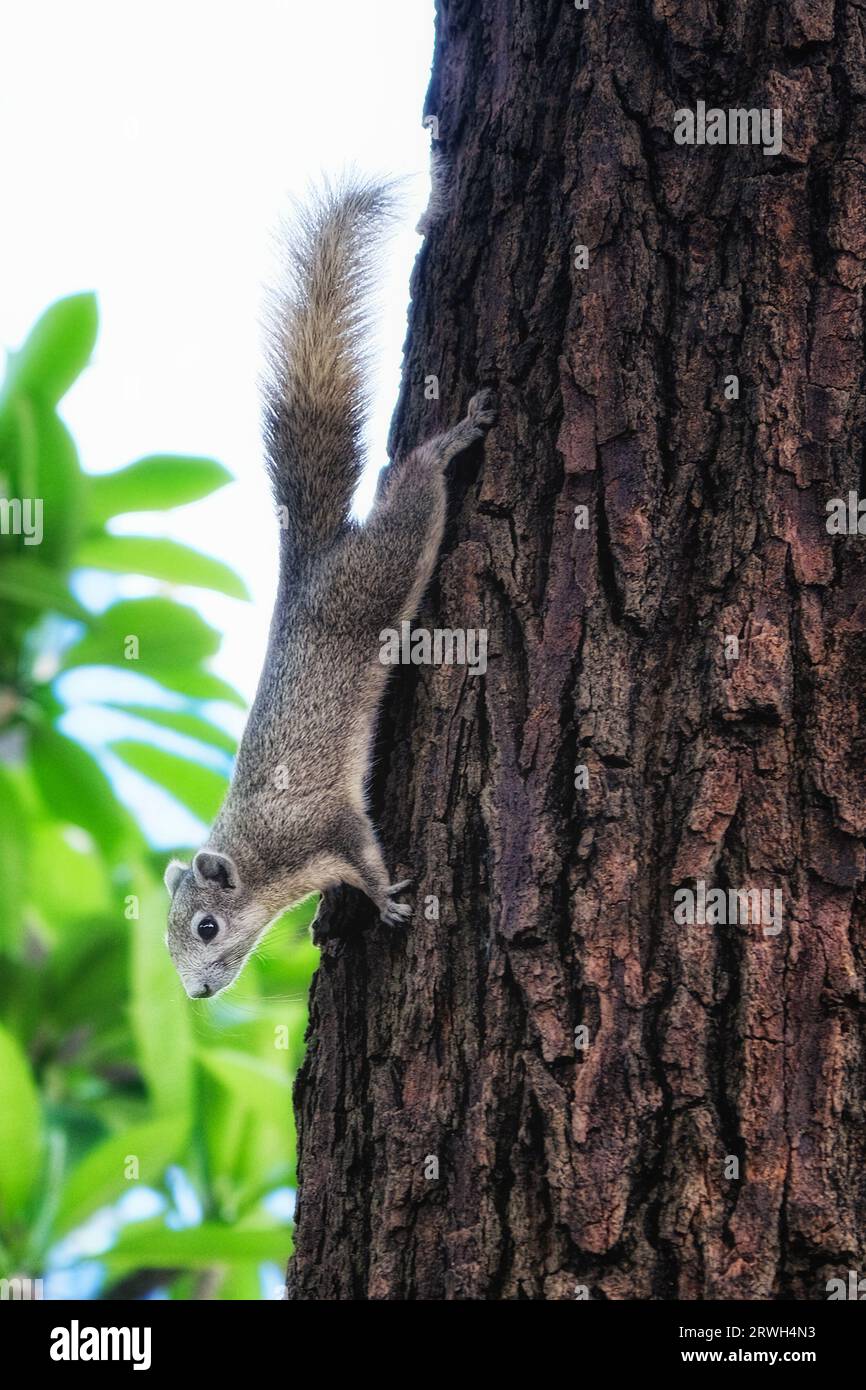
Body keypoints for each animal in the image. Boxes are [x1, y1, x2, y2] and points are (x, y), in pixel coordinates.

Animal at [163, 179, 497, 1000]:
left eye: (207, 928)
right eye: (167, 941)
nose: (197, 993)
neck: (261, 860)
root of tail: (310, 567)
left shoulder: (322, 824)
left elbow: (366, 850)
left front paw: (387, 900)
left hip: (381, 568)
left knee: (415, 488)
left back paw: (451, 440)